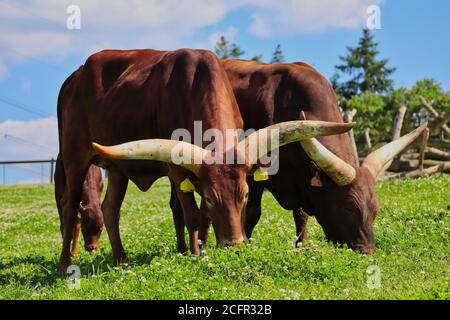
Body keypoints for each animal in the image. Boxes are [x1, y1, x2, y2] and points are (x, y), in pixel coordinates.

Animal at [56, 48, 352, 272]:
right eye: (210, 197)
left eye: (245, 194)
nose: (233, 245)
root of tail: (73, 77)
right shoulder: (176, 170)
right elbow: (193, 215)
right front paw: (197, 254)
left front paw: (200, 248)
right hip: (74, 158)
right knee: (70, 208)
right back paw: (64, 265)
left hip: (117, 164)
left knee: (110, 209)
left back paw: (122, 260)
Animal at [218, 58, 428, 254]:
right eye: (348, 207)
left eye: (375, 208)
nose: (367, 252)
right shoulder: (254, 174)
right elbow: (252, 211)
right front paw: (246, 243)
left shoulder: (301, 180)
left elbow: (301, 215)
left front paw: (302, 245)